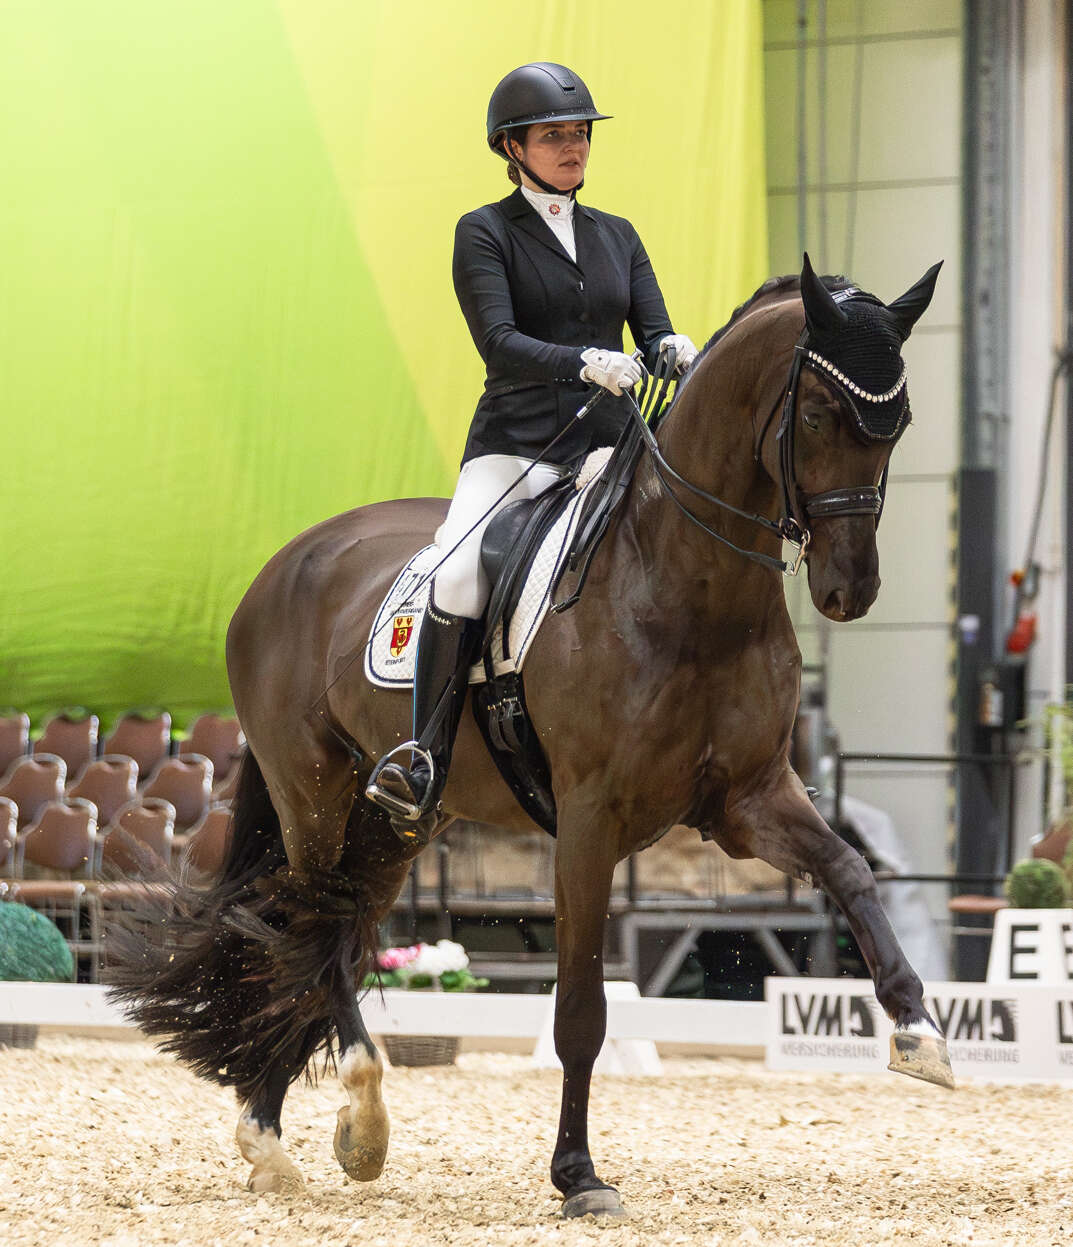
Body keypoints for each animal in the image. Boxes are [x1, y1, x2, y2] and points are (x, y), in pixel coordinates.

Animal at [108, 254, 950, 1219]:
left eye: (898, 421)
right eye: (813, 415)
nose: (851, 590)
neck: (688, 584)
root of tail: (290, 560)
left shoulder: (748, 799)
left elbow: (850, 870)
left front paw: (919, 1029)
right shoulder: (590, 817)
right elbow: (579, 1006)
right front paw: (578, 1175)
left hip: (396, 824)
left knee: (326, 926)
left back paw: (276, 1135)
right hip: (312, 791)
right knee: (310, 927)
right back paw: (354, 1117)